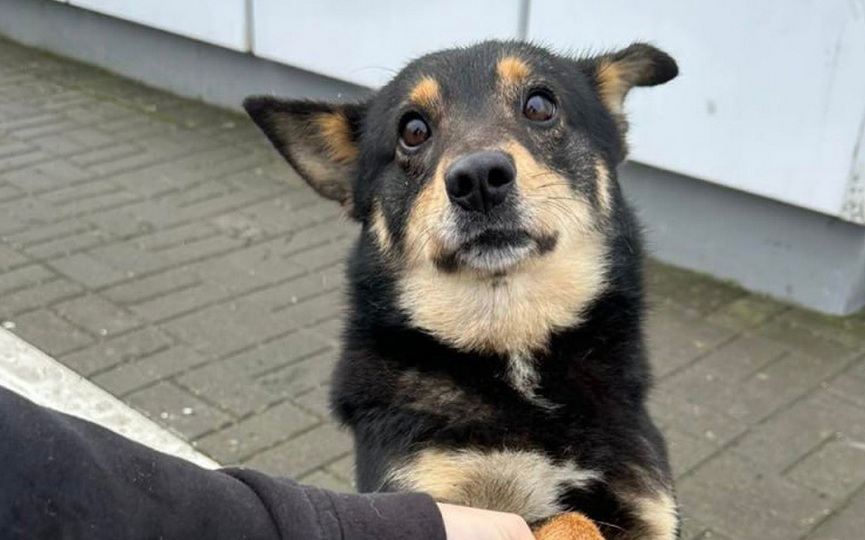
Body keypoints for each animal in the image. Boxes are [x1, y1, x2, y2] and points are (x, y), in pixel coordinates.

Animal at [244, 40, 679, 539]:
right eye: (412, 130)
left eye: (540, 105)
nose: (478, 179)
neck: (513, 351)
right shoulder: (433, 493)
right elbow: (571, 521)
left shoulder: (646, 504)